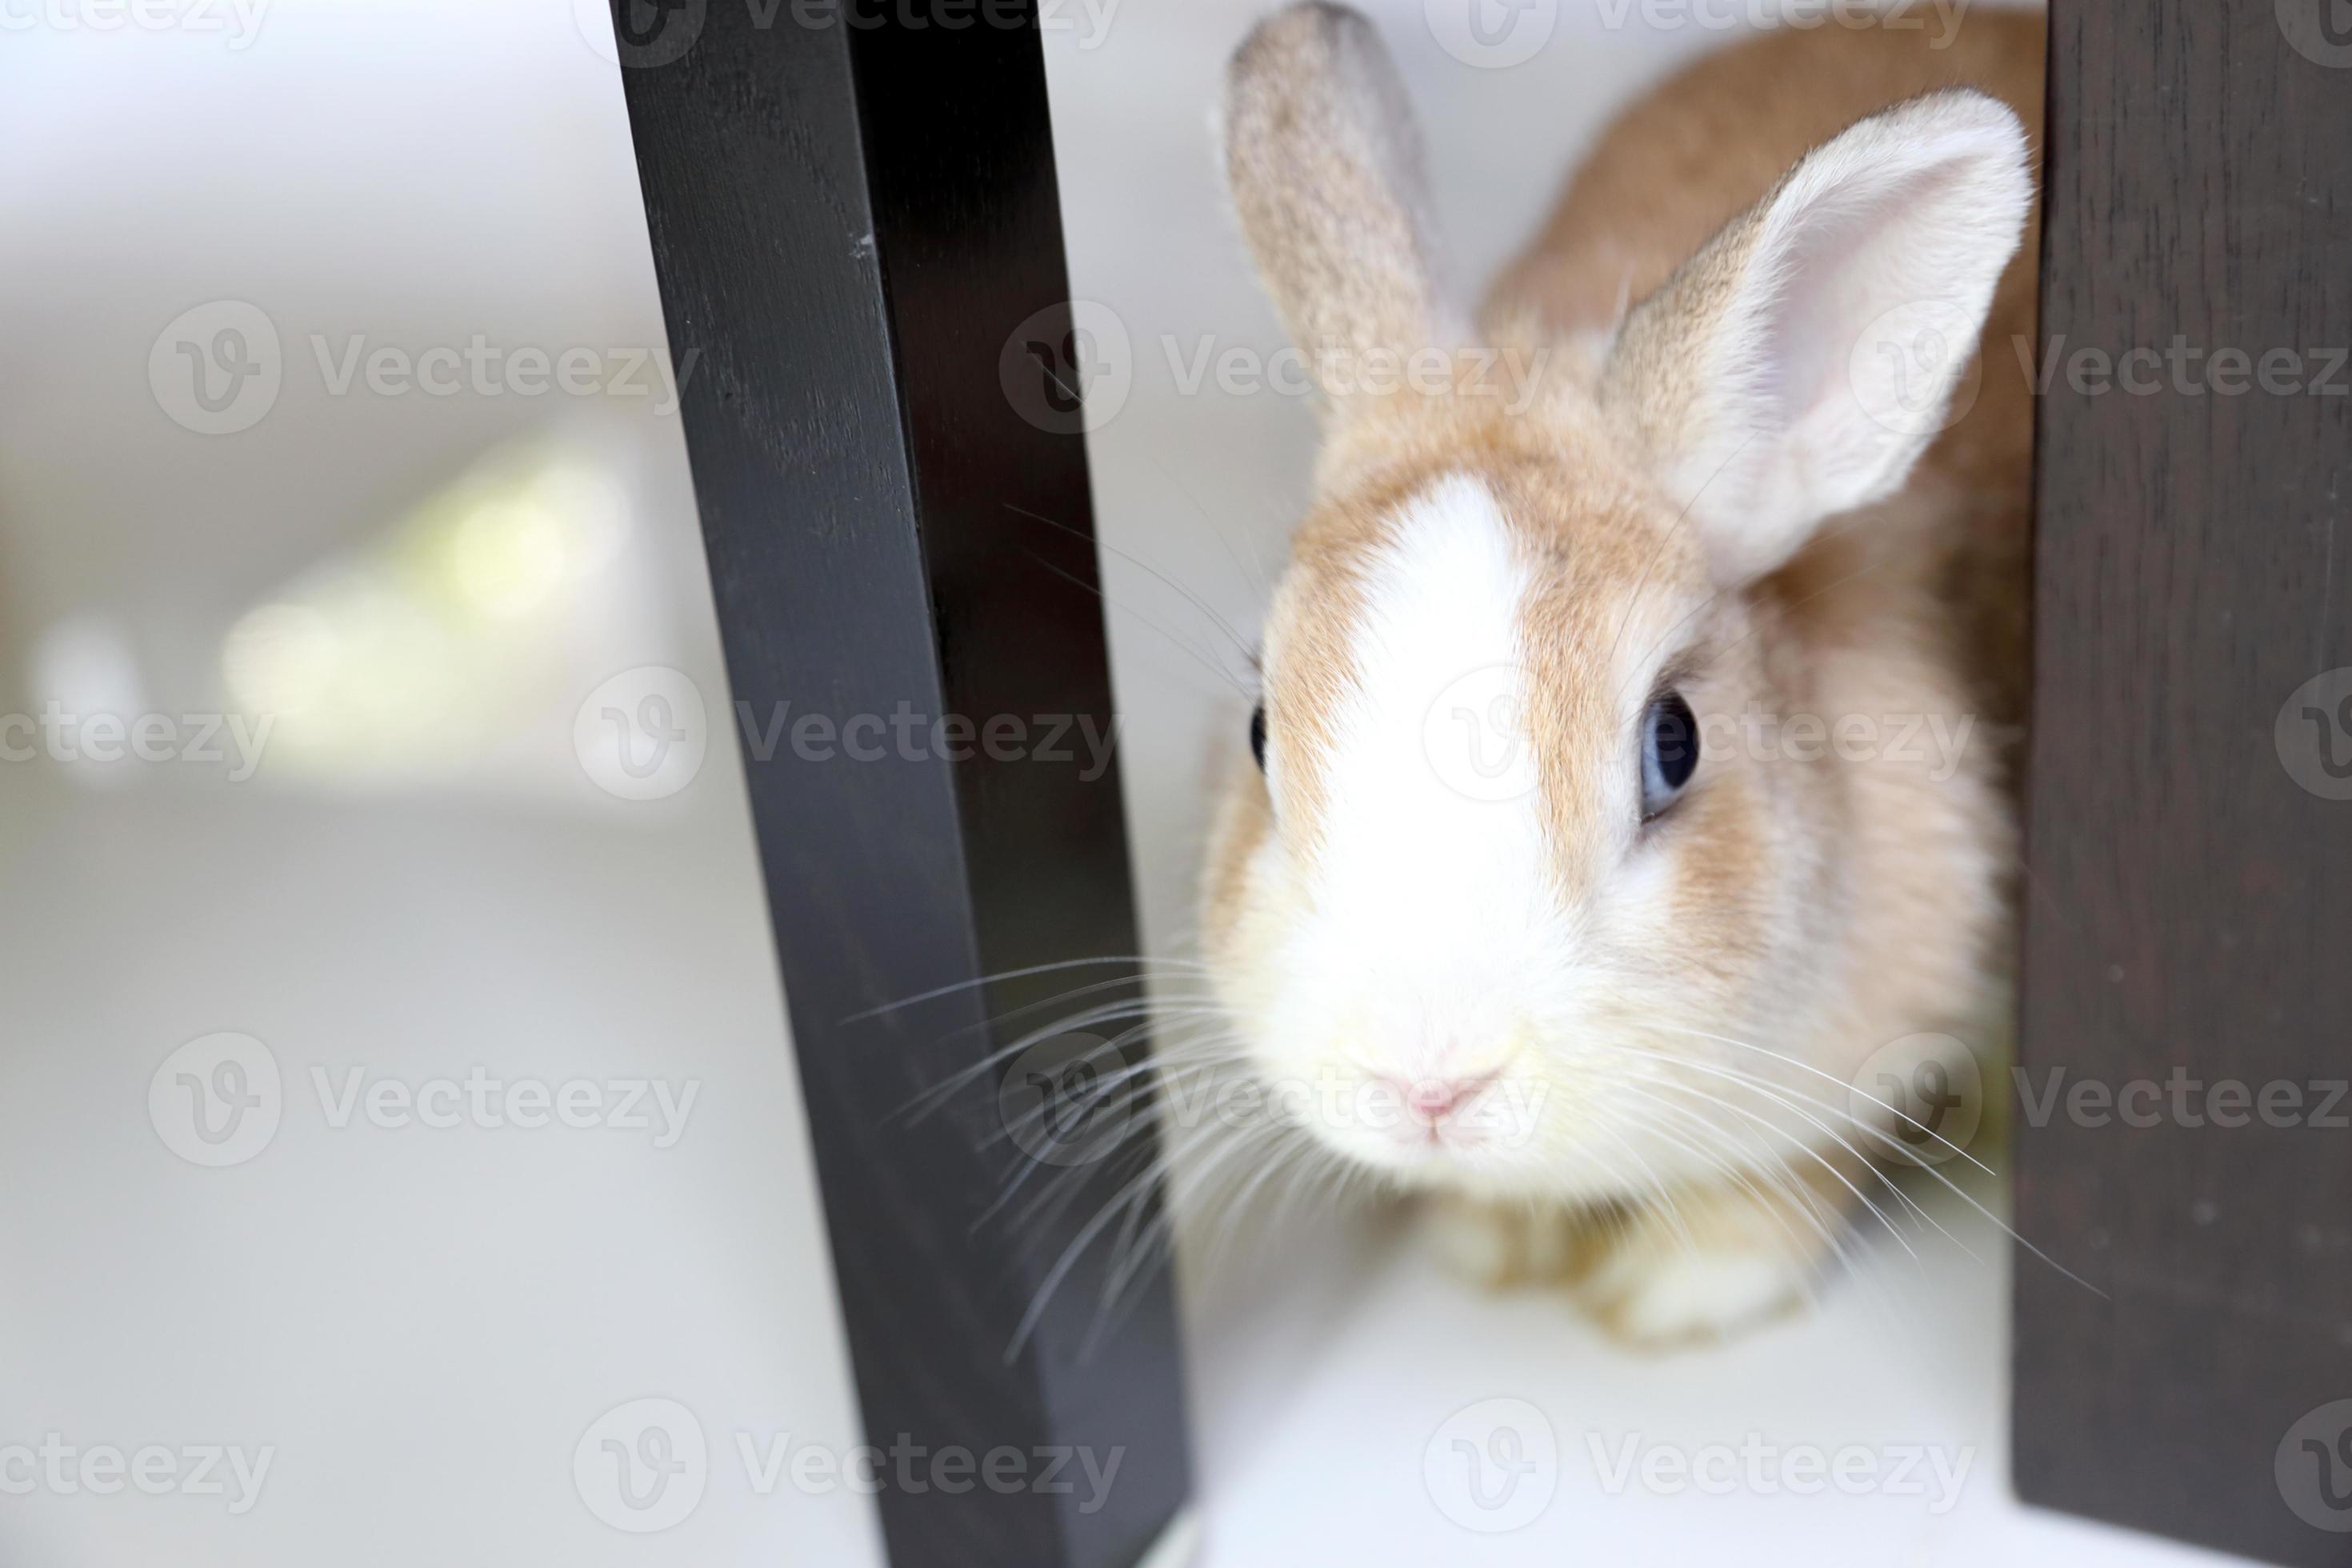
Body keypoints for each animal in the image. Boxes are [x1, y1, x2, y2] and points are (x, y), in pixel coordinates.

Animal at [1196, 2, 2043, 1346]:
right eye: (1262, 734)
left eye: (1674, 743)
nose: (1429, 1084)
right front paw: (1490, 1248)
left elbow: (1792, 1174)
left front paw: (1672, 1298)